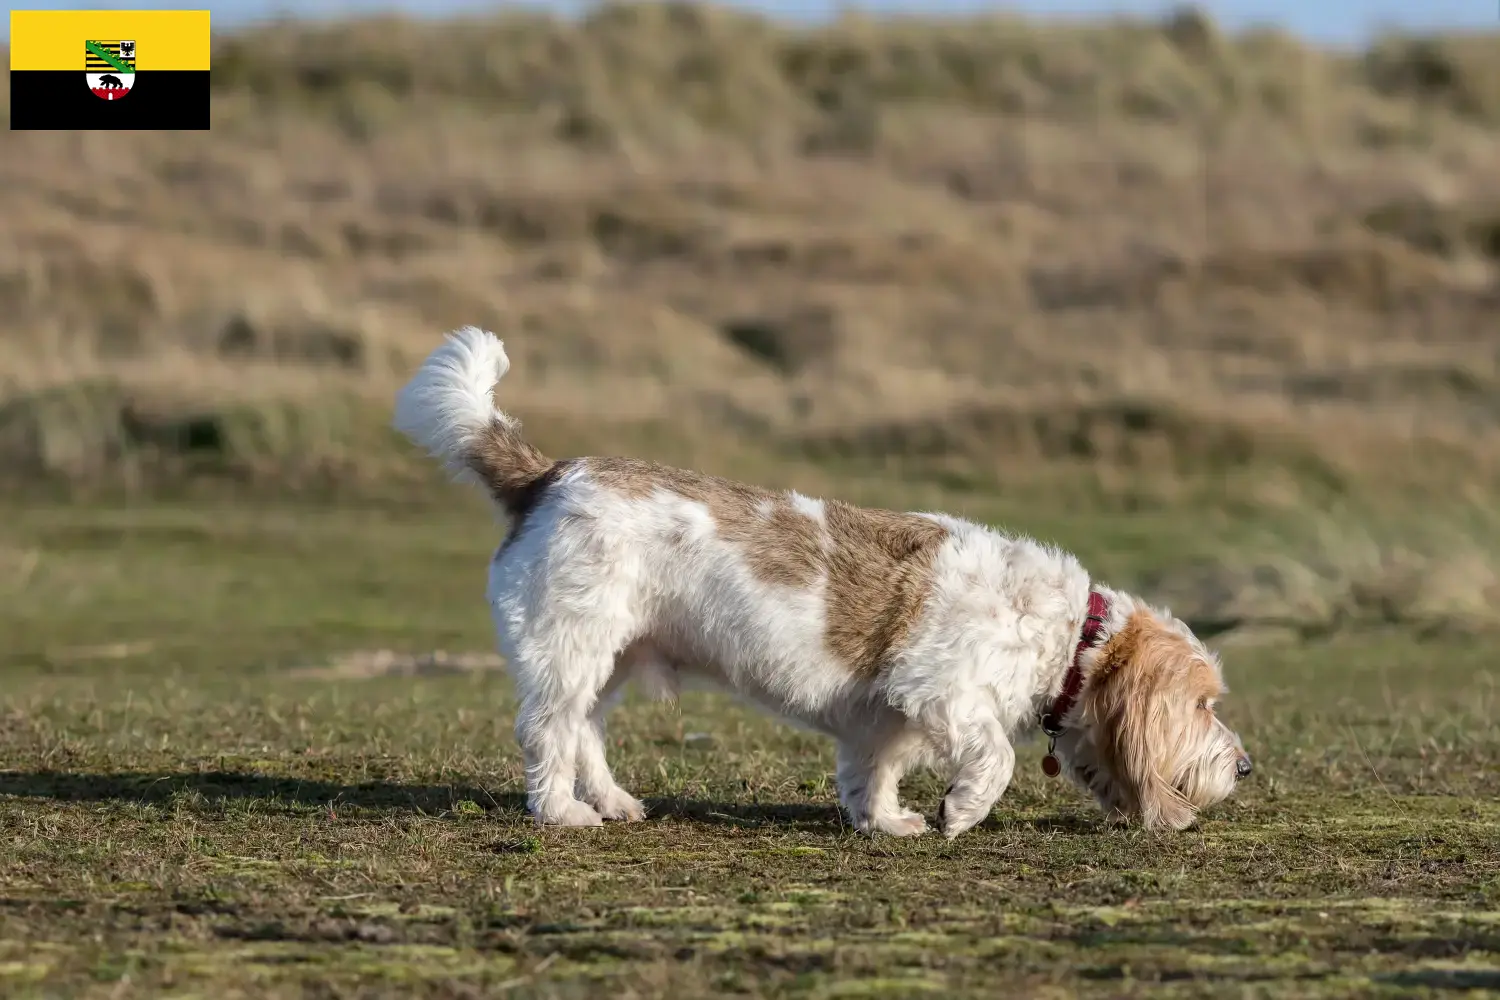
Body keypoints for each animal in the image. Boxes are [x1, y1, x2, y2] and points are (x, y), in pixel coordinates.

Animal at [393, 328, 1248, 839]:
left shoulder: (887, 716)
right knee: (548, 733)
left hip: (610, 661)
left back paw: (610, 800)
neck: (1070, 636)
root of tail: (547, 475)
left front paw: (887, 821)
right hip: (569, 653)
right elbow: (993, 758)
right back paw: (563, 812)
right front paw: (961, 811)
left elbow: (874, 770)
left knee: (585, 735)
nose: (1243, 767)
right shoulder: (946, 692)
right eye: (1204, 705)